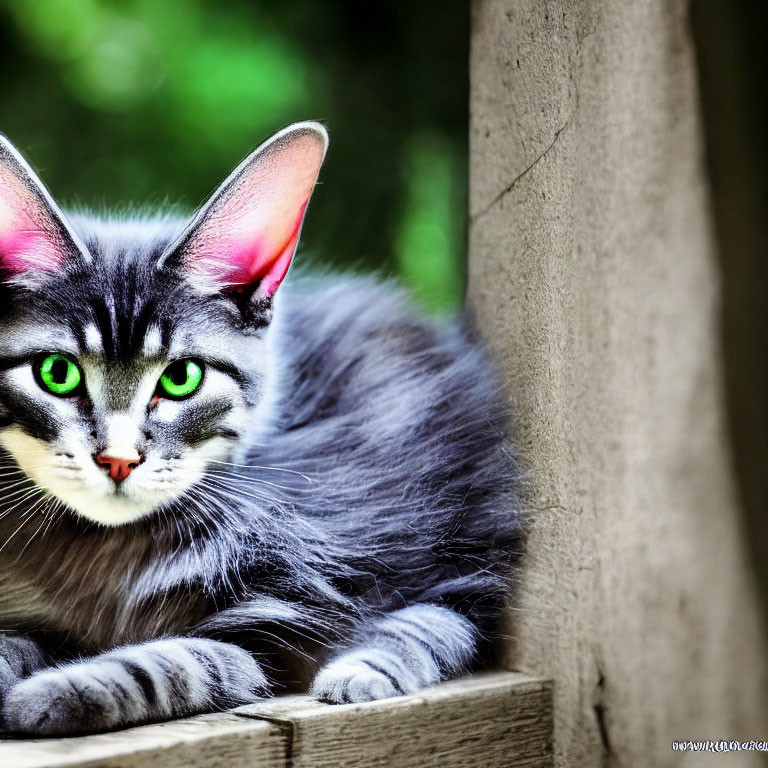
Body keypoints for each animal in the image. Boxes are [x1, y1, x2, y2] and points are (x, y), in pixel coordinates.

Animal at [0, 124, 520, 736]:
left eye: (181, 377)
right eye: (57, 374)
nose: (119, 460)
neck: (102, 545)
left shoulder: (283, 618)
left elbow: (184, 660)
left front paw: (51, 694)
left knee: (442, 614)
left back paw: (364, 672)